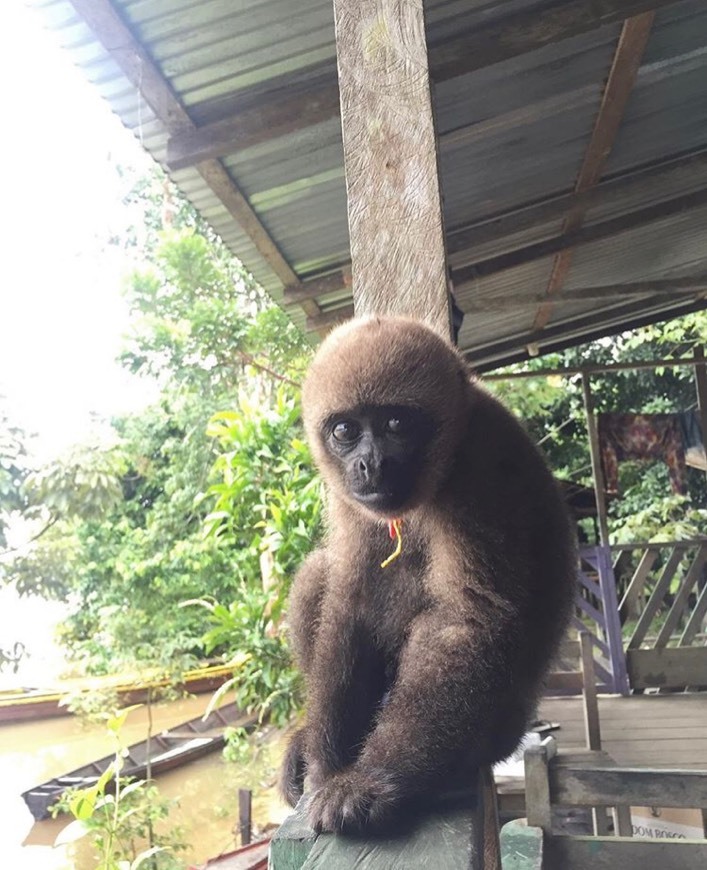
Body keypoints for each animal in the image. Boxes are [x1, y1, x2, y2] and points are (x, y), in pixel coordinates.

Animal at [280, 316, 580, 836]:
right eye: (345, 430)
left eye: (397, 424)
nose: (370, 463)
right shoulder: (346, 497)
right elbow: (350, 595)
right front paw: (322, 764)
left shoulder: (483, 465)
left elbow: (469, 619)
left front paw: (370, 780)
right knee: (320, 570)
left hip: (497, 731)